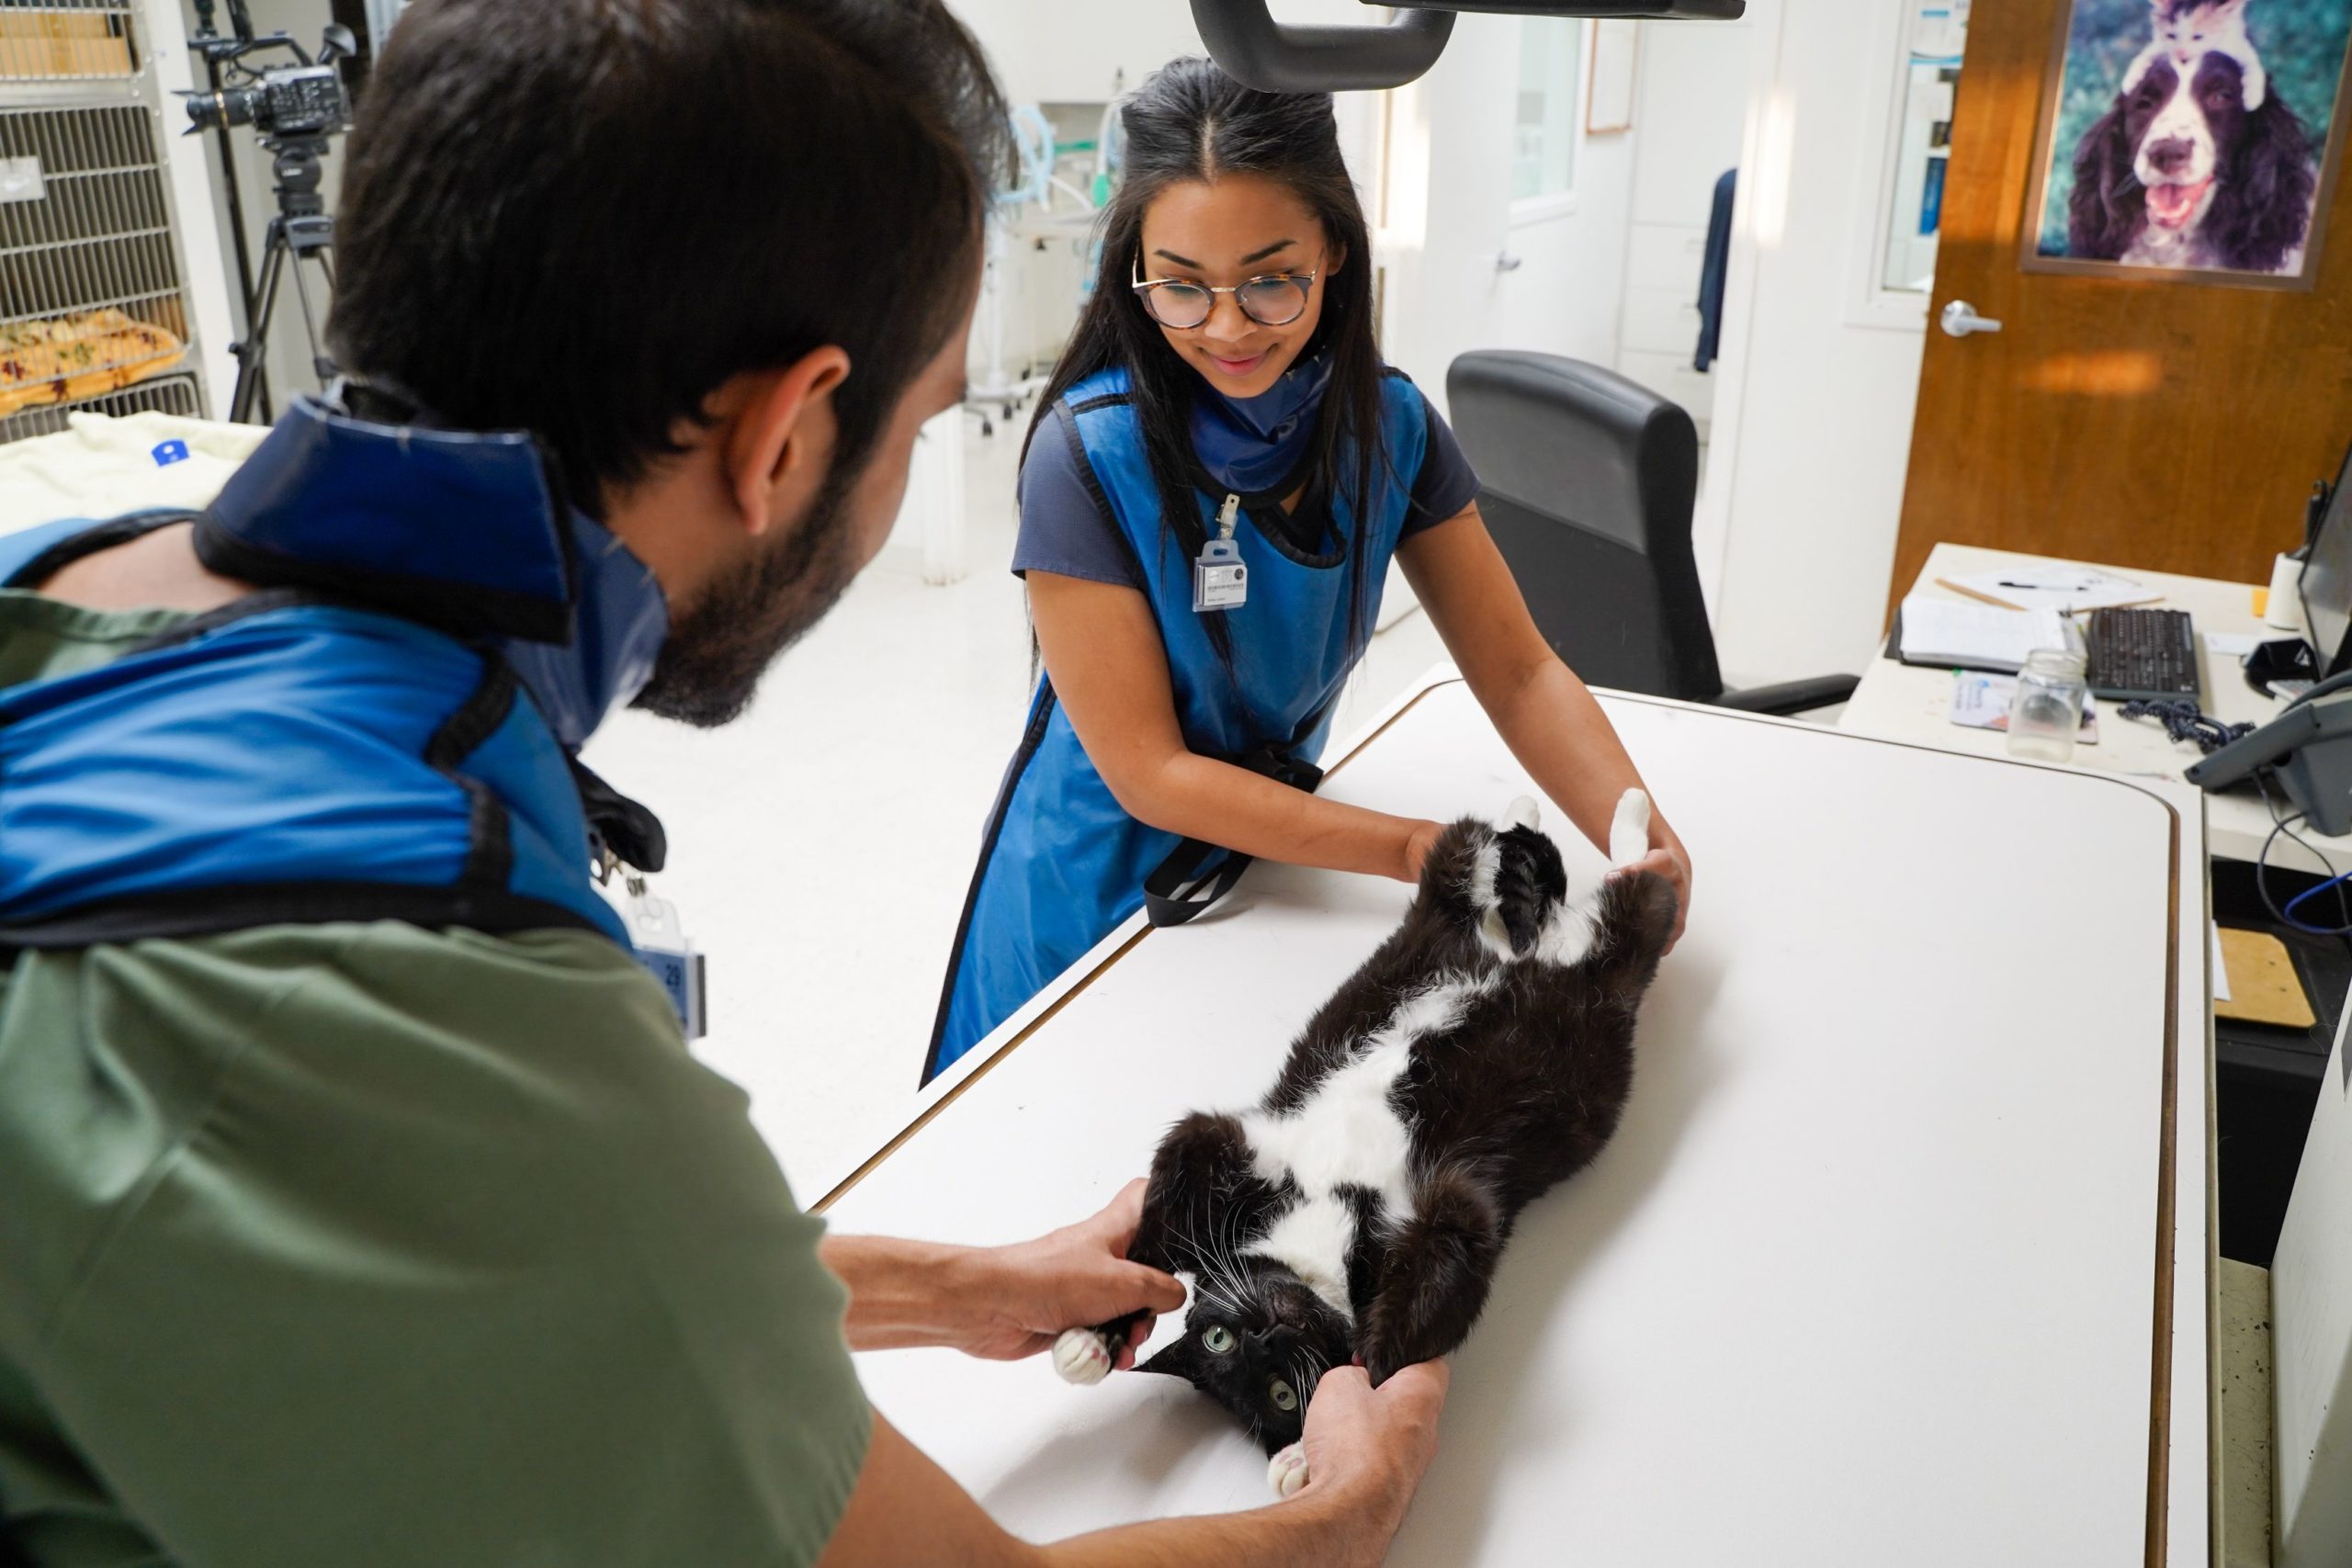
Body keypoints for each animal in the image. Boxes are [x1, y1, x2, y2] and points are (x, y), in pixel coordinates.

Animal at [1048, 784, 1674, 1495]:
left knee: (1592, 869)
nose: (1264, 1332)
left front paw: (1090, 1338)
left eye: (1217, 1338)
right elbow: (1395, 1345)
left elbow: (1148, 1244)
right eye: (1277, 1392)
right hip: (1614, 954)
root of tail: (1535, 944)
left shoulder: (1227, 1144)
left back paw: (1588, 812)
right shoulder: (1454, 1211)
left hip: (1455, 875)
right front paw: (1310, 1448)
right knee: (1630, 896)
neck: (1326, 1233)